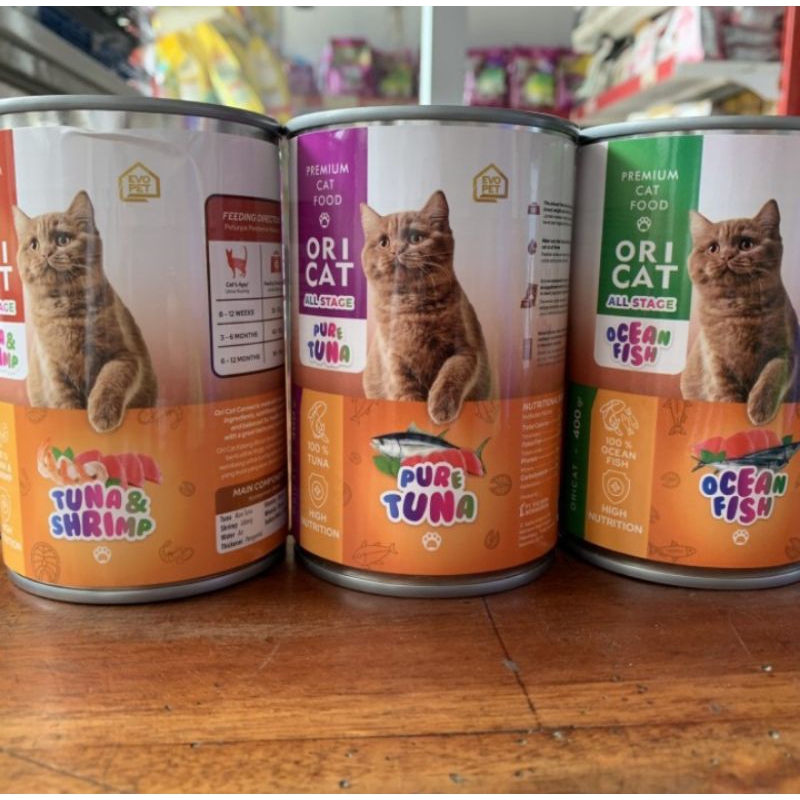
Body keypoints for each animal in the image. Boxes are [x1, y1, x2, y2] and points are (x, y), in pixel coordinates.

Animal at [13, 190, 158, 433]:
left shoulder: (126, 355)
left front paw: (102, 415)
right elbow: (66, 404)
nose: (45, 253)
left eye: (62, 240)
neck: (65, 314)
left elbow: (110, 379)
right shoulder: (54, 373)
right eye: (33, 244)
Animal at [360, 190, 491, 425]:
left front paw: (440, 406)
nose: (396, 250)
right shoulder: (395, 363)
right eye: (384, 242)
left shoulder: (466, 350)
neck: (411, 308)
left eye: (415, 238)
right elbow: (406, 396)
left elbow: (451, 373)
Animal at [681, 198, 800, 426]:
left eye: (746, 244)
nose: (726, 255)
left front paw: (759, 407)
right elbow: (726, 395)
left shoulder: (786, 352)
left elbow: (771, 375)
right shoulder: (716, 362)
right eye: (713, 248)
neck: (737, 311)